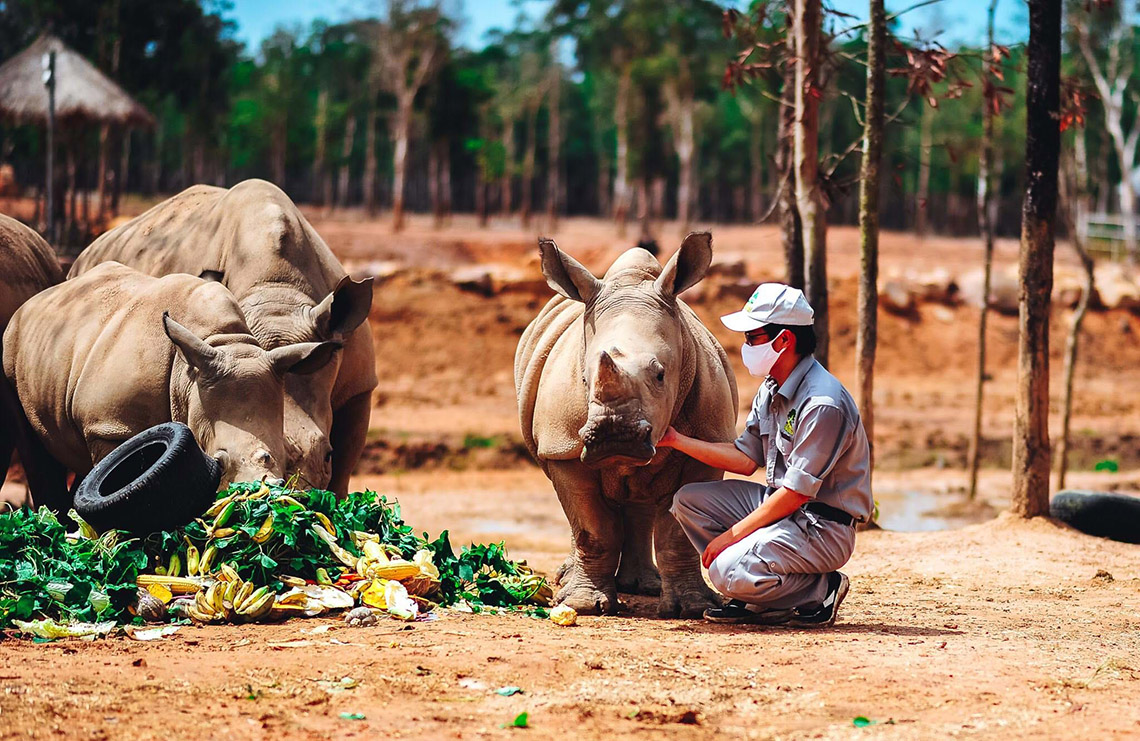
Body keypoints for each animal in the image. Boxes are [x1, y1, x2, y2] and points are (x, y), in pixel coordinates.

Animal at [517, 233, 738, 615]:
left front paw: (692, 607)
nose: (615, 436)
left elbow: (677, 533)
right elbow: (592, 528)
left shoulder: (709, 443)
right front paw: (585, 605)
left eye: (661, 374)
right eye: (585, 379)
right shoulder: (562, 445)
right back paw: (567, 583)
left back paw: (643, 586)